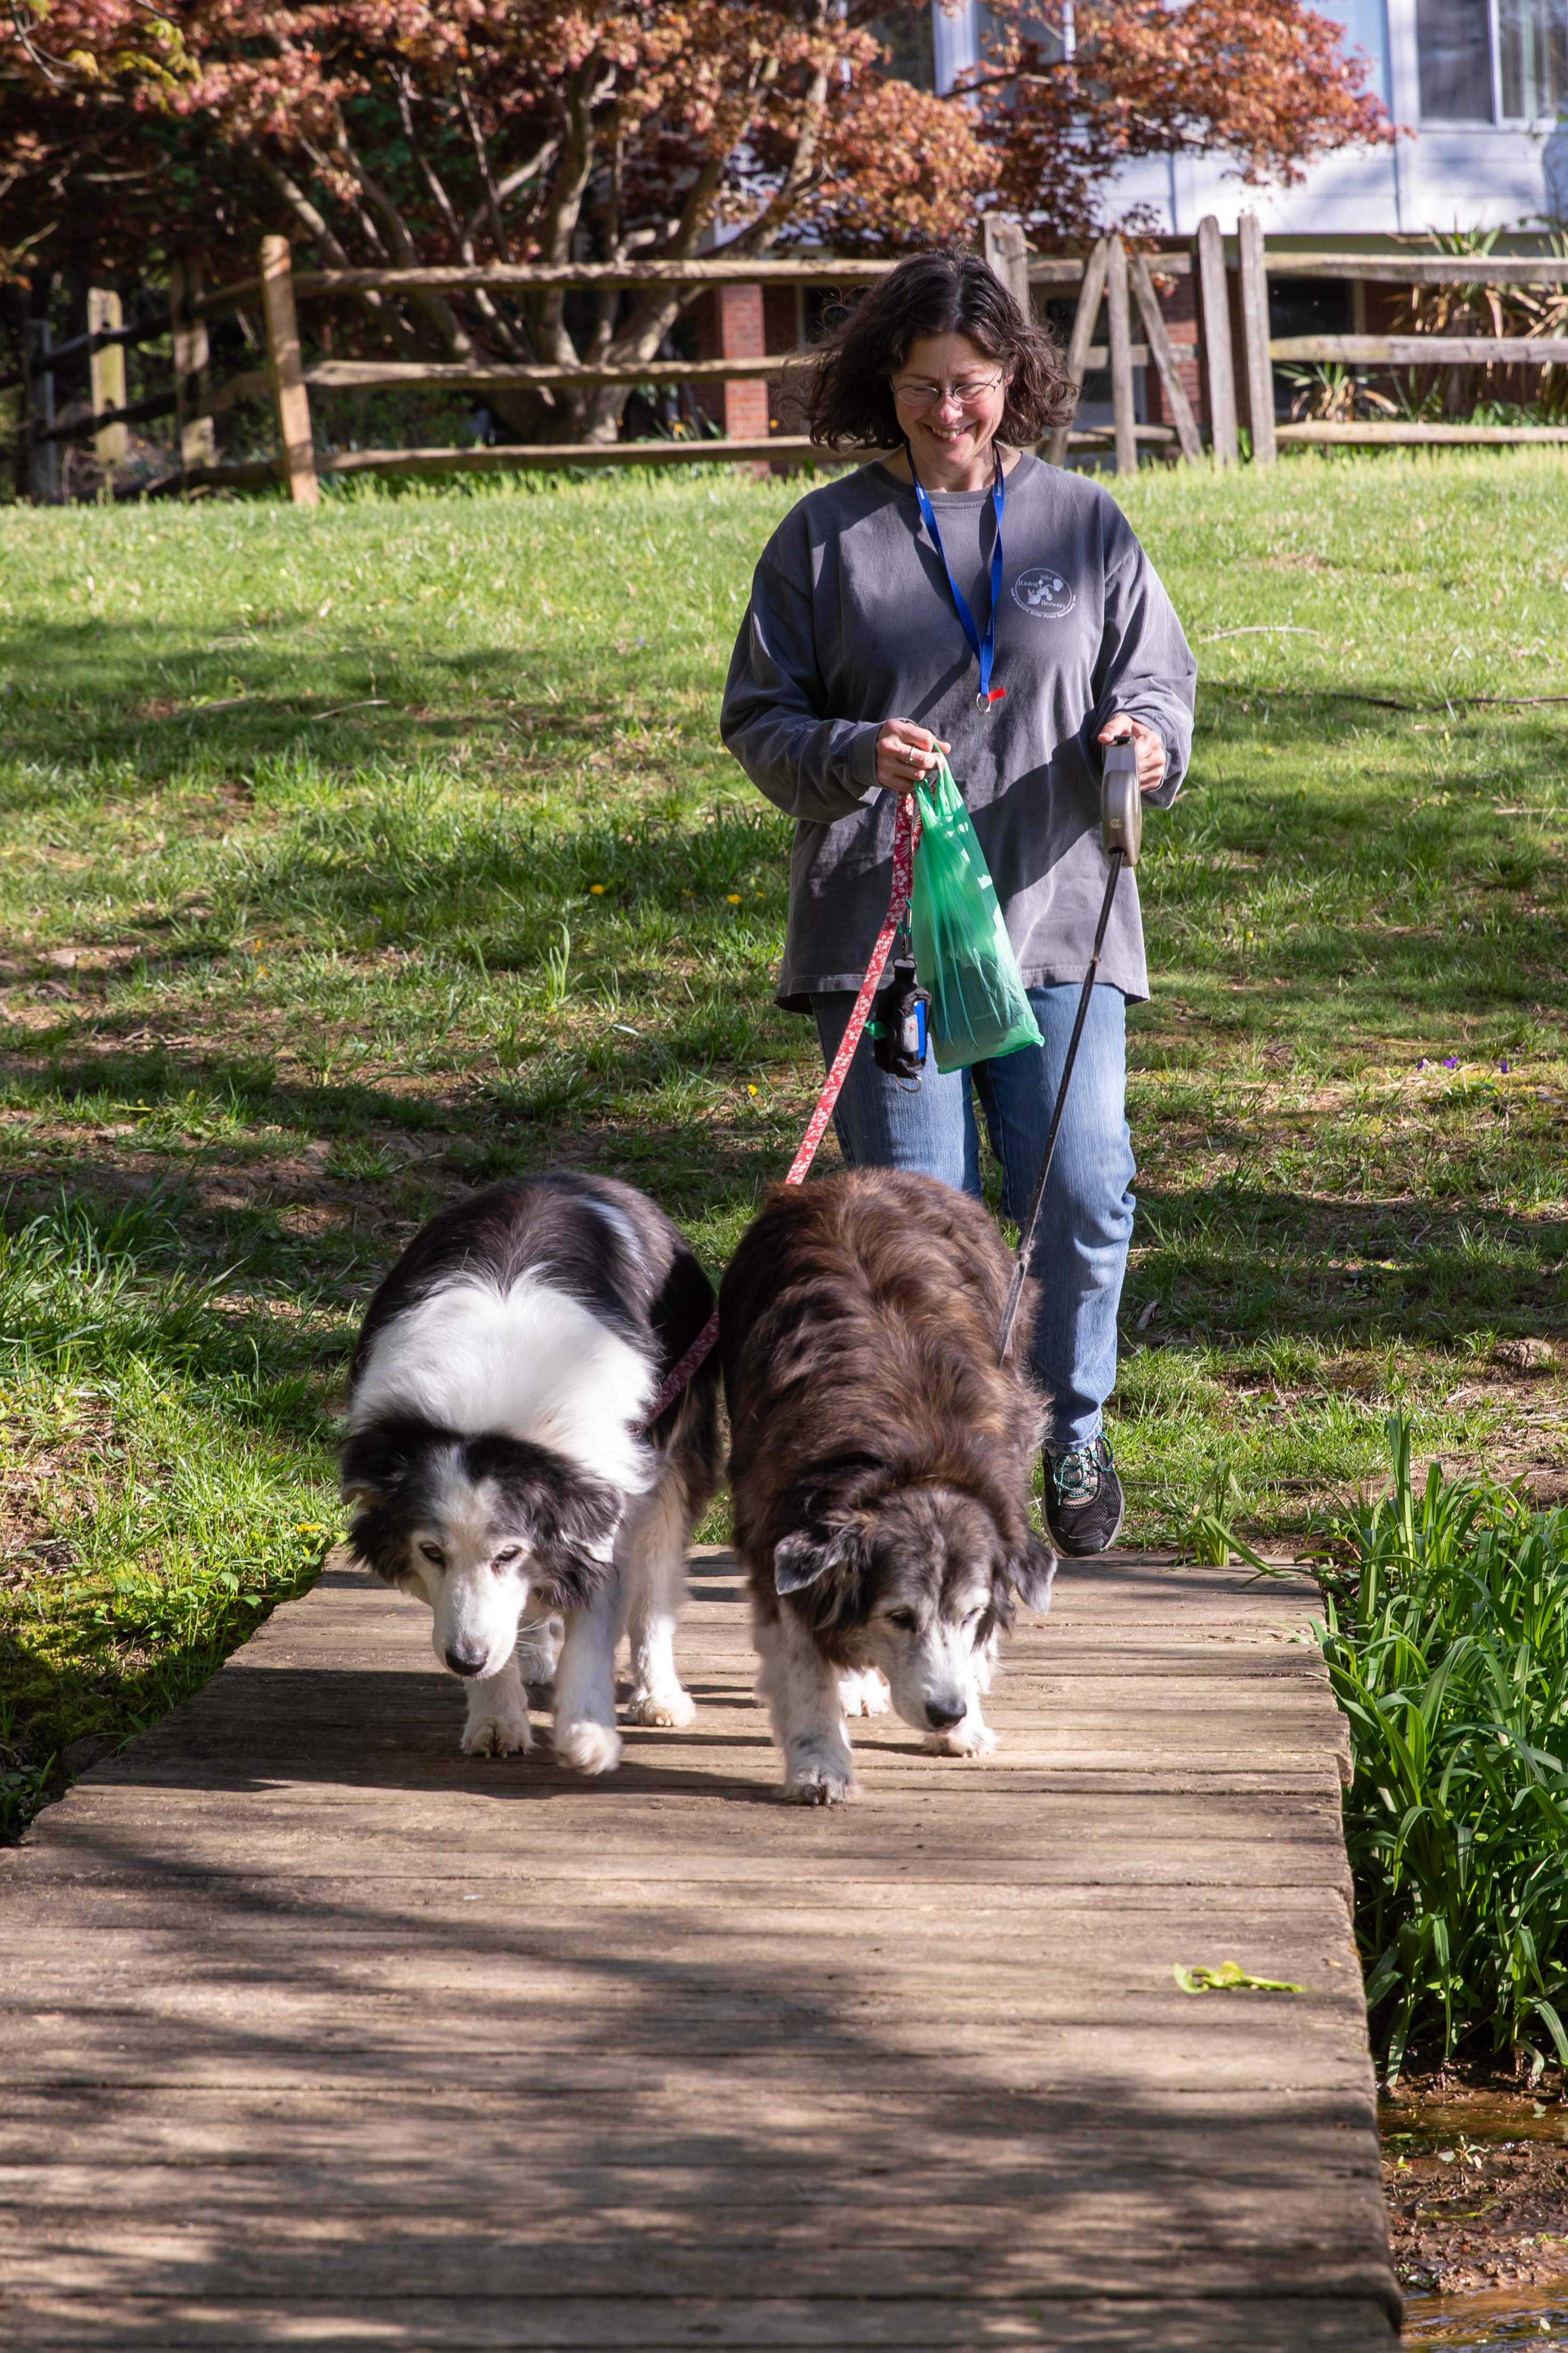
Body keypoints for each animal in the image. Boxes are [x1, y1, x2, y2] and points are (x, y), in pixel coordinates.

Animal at [343, 1176, 724, 1769]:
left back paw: (659, 1696)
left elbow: (596, 1622)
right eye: (431, 1552)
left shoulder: (605, 1498)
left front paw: (588, 1733)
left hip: (675, 1462)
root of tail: (579, 1177)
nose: (465, 1661)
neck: (489, 1409)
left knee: (654, 1588)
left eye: (508, 1554)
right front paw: (497, 1719)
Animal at [719, 1172, 1053, 1797]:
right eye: (898, 1617)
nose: (947, 1713)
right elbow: (805, 1662)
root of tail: (861, 1177)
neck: (909, 1461)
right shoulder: (776, 1525)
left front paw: (965, 1724)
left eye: (969, 1615)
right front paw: (820, 1763)